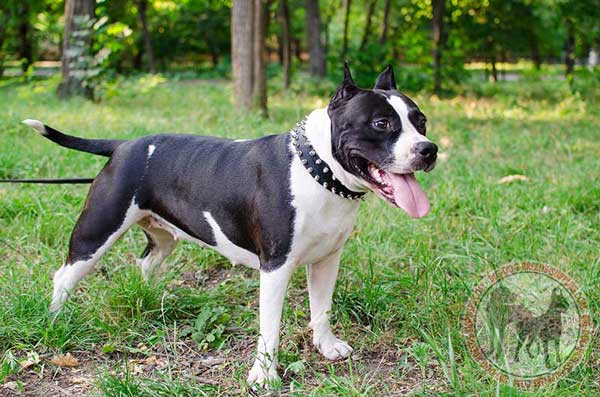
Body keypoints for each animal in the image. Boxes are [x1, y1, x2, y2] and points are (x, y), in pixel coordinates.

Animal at [21, 65, 436, 384]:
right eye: (382, 123)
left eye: (422, 122)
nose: (429, 149)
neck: (319, 172)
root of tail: (123, 146)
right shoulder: (276, 267)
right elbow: (270, 328)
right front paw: (264, 376)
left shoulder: (326, 260)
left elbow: (323, 307)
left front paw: (326, 345)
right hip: (98, 230)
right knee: (65, 275)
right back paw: (56, 319)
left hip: (163, 235)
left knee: (146, 262)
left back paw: (152, 301)